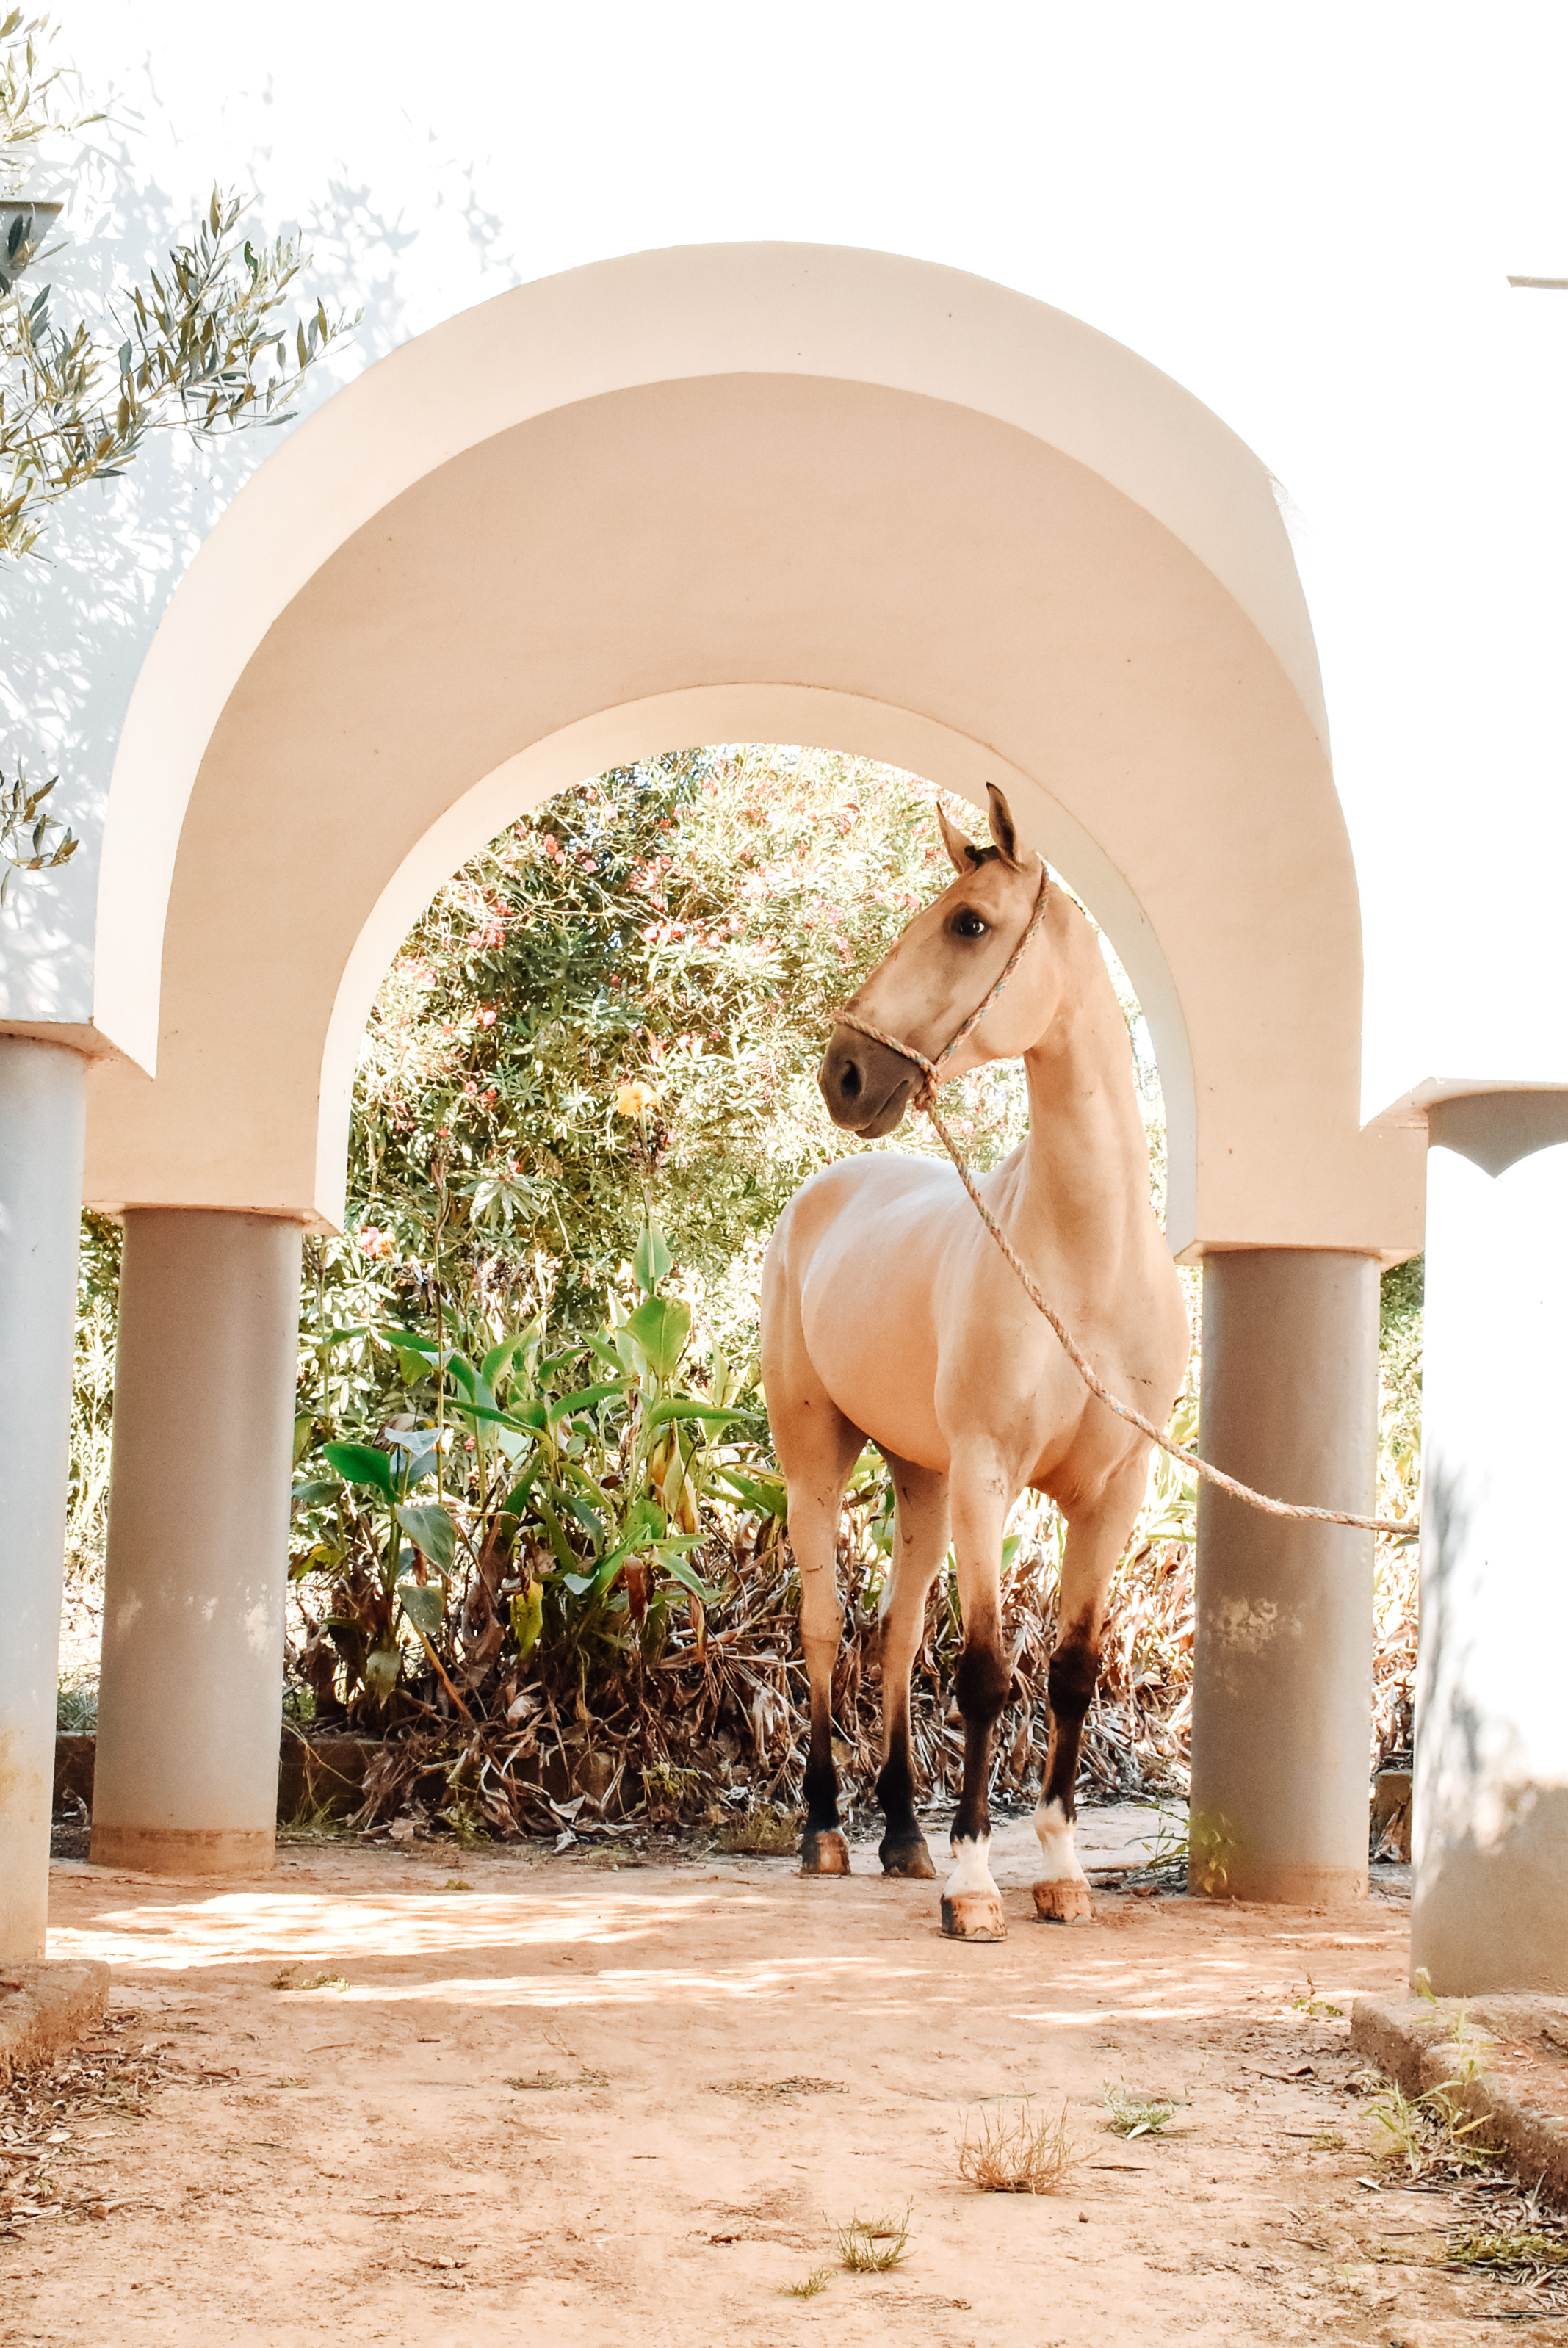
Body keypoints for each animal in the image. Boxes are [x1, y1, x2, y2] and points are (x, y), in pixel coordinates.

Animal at [759, 785, 1189, 1939]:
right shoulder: (990, 1474)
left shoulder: (1112, 1492)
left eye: (967, 922)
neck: (1083, 1263)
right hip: (818, 1461)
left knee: (895, 1638)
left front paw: (1059, 1870)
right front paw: (973, 1881)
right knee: (826, 1630)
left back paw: (901, 1833)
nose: (845, 1073)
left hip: (920, 1477)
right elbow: (988, 1675)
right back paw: (827, 1830)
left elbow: (1070, 1673)